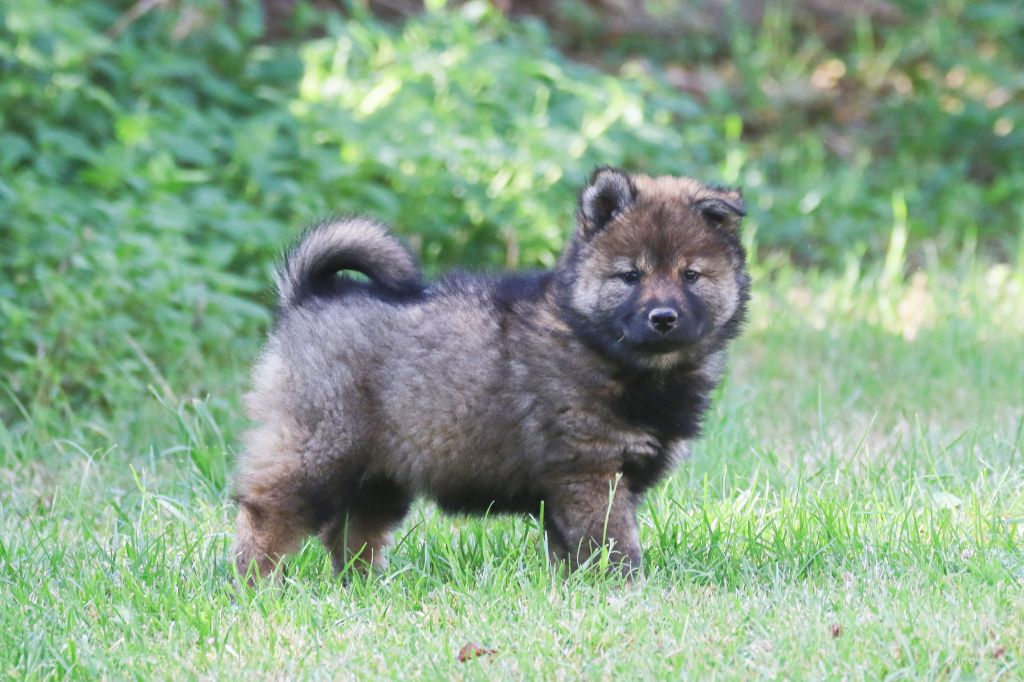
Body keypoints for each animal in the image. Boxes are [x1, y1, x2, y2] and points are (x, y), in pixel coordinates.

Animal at [232, 166, 749, 580]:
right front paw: (624, 588)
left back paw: (366, 588)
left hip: (381, 473)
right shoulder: (589, 471)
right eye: (631, 276)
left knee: (353, 534)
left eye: (690, 275)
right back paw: (257, 586)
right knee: (266, 515)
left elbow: (572, 549)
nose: (663, 317)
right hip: (318, 450)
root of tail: (308, 297)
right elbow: (614, 542)